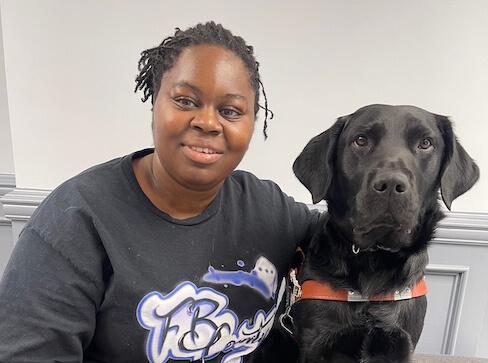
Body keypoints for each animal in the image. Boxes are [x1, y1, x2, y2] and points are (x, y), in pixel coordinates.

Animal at [286, 104, 480, 362]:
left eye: (426, 143)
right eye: (360, 140)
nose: (390, 184)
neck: (374, 259)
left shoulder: (398, 341)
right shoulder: (317, 342)